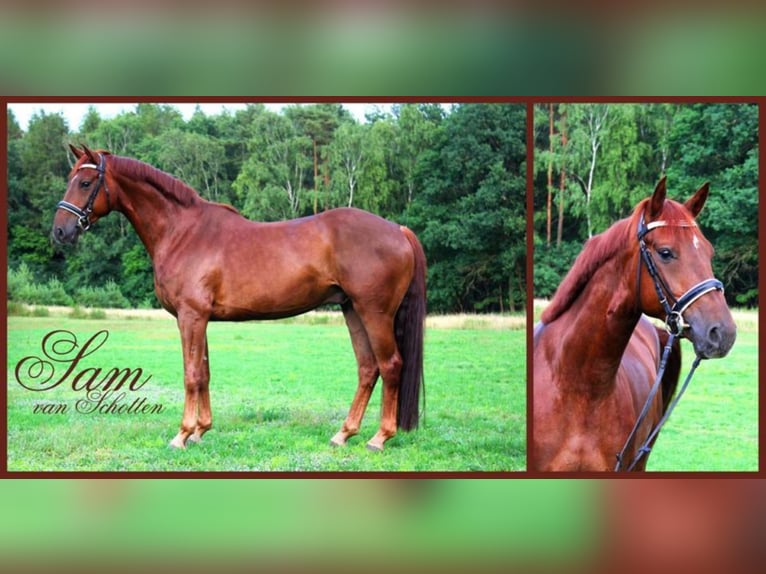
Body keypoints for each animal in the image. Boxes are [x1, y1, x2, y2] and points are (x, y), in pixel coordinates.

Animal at [52, 145, 426, 452]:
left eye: (85, 183)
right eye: (70, 179)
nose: (59, 231)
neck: (182, 232)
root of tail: (398, 230)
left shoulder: (191, 316)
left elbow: (191, 374)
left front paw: (181, 435)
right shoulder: (200, 318)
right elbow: (204, 371)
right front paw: (201, 431)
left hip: (374, 312)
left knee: (390, 365)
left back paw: (379, 438)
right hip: (352, 310)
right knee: (367, 368)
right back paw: (344, 434)